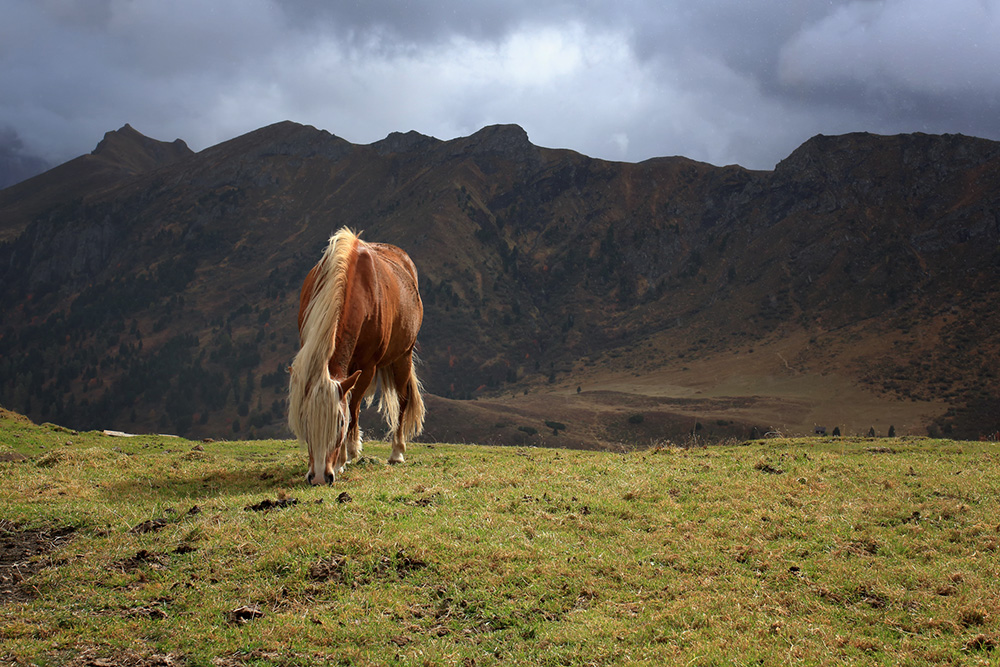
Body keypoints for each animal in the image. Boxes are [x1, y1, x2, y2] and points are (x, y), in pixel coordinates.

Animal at [292, 230, 428, 486]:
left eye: (340, 423)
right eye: (305, 422)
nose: (319, 477)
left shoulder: (367, 367)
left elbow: (353, 408)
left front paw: (342, 459)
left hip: (403, 356)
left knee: (402, 400)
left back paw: (397, 452)